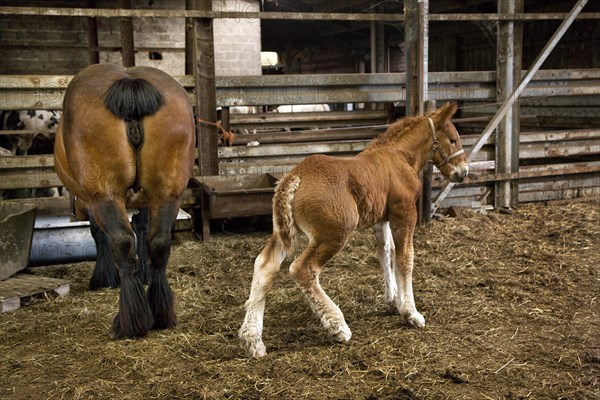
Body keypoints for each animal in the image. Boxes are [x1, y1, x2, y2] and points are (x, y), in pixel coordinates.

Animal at [53, 63, 195, 338]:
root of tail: (130, 83)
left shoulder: (92, 202)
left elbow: (99, 234)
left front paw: (105, 277)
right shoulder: (147, 200)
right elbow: (143, 229)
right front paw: (144, 274)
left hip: (105, 196)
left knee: (122, 243)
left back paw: (130, 321)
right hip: (168, 194)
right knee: (159, 243)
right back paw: (160, 313)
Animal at [239, 101, 468, 358]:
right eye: (453, 140)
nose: (463, 172)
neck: (399, 157)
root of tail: (295, 177)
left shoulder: (382, 219)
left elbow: (386, 253)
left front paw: (393, 300)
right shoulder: (405, 214)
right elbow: (405, 258)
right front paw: (411, 313)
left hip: (284, 231)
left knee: (265, 265)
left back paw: (253, 340)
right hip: (335, 232)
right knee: (302, 268)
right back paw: (338, 326)